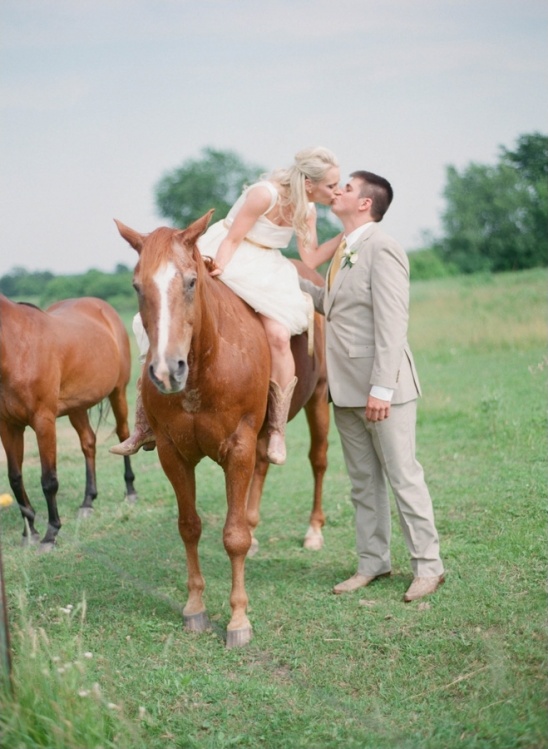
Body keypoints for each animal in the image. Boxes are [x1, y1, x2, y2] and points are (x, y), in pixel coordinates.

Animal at [0, 296, 137, 548]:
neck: (17, 349)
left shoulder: (43, 422)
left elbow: (49, 480)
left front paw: (51, 533)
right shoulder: (8, 426)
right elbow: (15, 479)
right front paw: (29, 532)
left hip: (118, 392)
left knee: (123, 435)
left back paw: (131, 492)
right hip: (77, 407)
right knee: (88, 443)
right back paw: (87, 503)